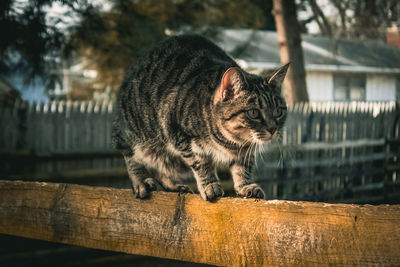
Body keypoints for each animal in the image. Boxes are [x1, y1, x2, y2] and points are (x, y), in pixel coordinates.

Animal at [111, 34, 288, 202]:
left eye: (278, 111)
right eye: (254, 113)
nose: (273, 129)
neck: (231, 142)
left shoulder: (244, 152)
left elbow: (242, 167)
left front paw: (245, 186)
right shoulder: (181, 136)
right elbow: (201, 164)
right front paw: (210, 185)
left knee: (160, 164)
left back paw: (173, 185)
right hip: (132, 134)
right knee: (131, 156)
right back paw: (141, 181)